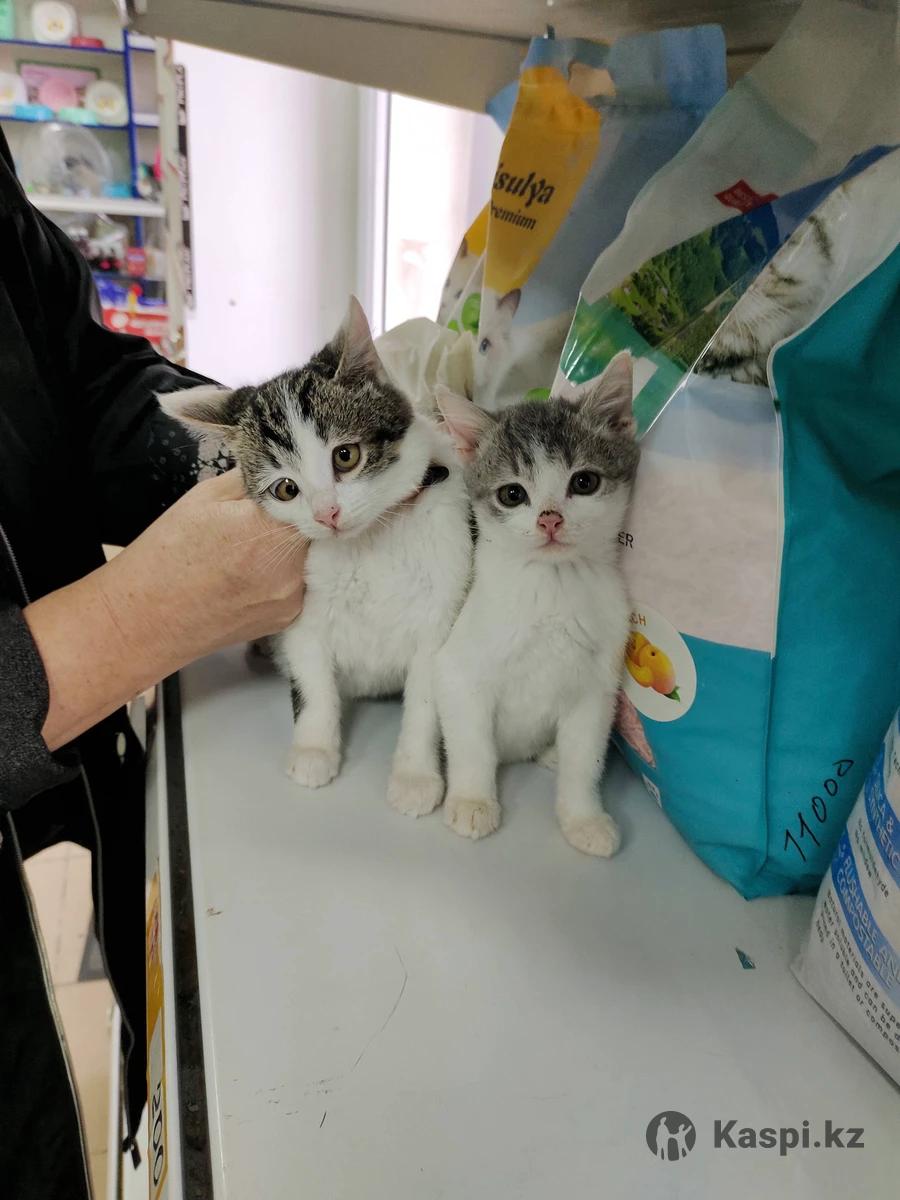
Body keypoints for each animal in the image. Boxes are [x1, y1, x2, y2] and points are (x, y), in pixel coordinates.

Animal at [161, 297, 473, 816]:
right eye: (286, 489)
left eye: (345, 456)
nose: (327, 513)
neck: (367, 544)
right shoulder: (301, 617)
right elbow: (313, 682)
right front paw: (313, 749)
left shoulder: (440, 613)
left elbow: (427, 701)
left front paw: (415, 775)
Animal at [431, 352, 639, 856]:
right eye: (513, 494)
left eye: (584, 481)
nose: (550, 519)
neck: (552, 587)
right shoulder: (456, 672)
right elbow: (473, 744)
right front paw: (472, 801)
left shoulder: (596, 688)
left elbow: (586, 759)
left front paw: (583, 819)